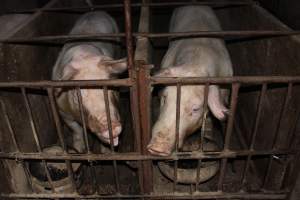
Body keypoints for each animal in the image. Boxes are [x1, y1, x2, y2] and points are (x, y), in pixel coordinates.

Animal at [52, 11, 127, 152]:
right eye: (78, 95)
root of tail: (95, 11)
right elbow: (76, 128)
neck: (84, 57)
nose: (111, 125)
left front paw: (107, 152)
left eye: (109, 87)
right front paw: (79, 149)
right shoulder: (62, 111)